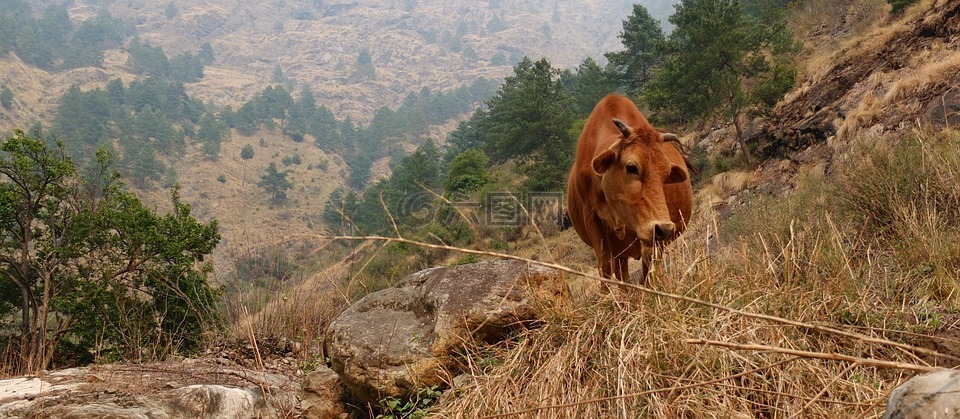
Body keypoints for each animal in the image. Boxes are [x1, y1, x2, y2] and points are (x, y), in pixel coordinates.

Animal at [568, 94, 692, 286]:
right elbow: (605, 267)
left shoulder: (650, 235)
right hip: (622, 253)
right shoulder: (593, 220)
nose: (664, 229)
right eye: (632, 167)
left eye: (666, 174)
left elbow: (649, 266)